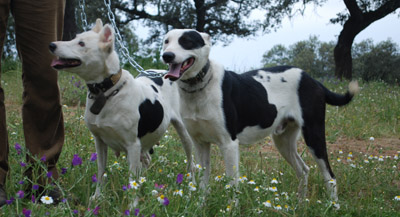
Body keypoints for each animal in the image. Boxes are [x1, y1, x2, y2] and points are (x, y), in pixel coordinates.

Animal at [49, 20, 194, 200]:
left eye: (81, 44)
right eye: (74, 38)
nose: (52, 45)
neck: (107, 92)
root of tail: (166, 73)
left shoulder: (133, 145)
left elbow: (132, 179)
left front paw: (132, 203)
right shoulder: (100, 141)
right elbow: (101, 171)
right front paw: (98, 197)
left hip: (184, 134)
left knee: (190, 160)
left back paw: (191, 185)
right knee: (145, 161)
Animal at [162, 28, 360, 202]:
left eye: (187, 41)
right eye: (166, 41)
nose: (167, 56)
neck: (198, 86)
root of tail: (313, 80)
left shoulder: (229, 144)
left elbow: (232, 184)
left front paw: (230, 209)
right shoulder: (200, 144)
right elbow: (203, 184)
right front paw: (199, 206)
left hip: (314, 135)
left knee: (330, 175)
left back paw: (333, 206)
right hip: (283, 141)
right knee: (303, 170)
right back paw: (300, 204)